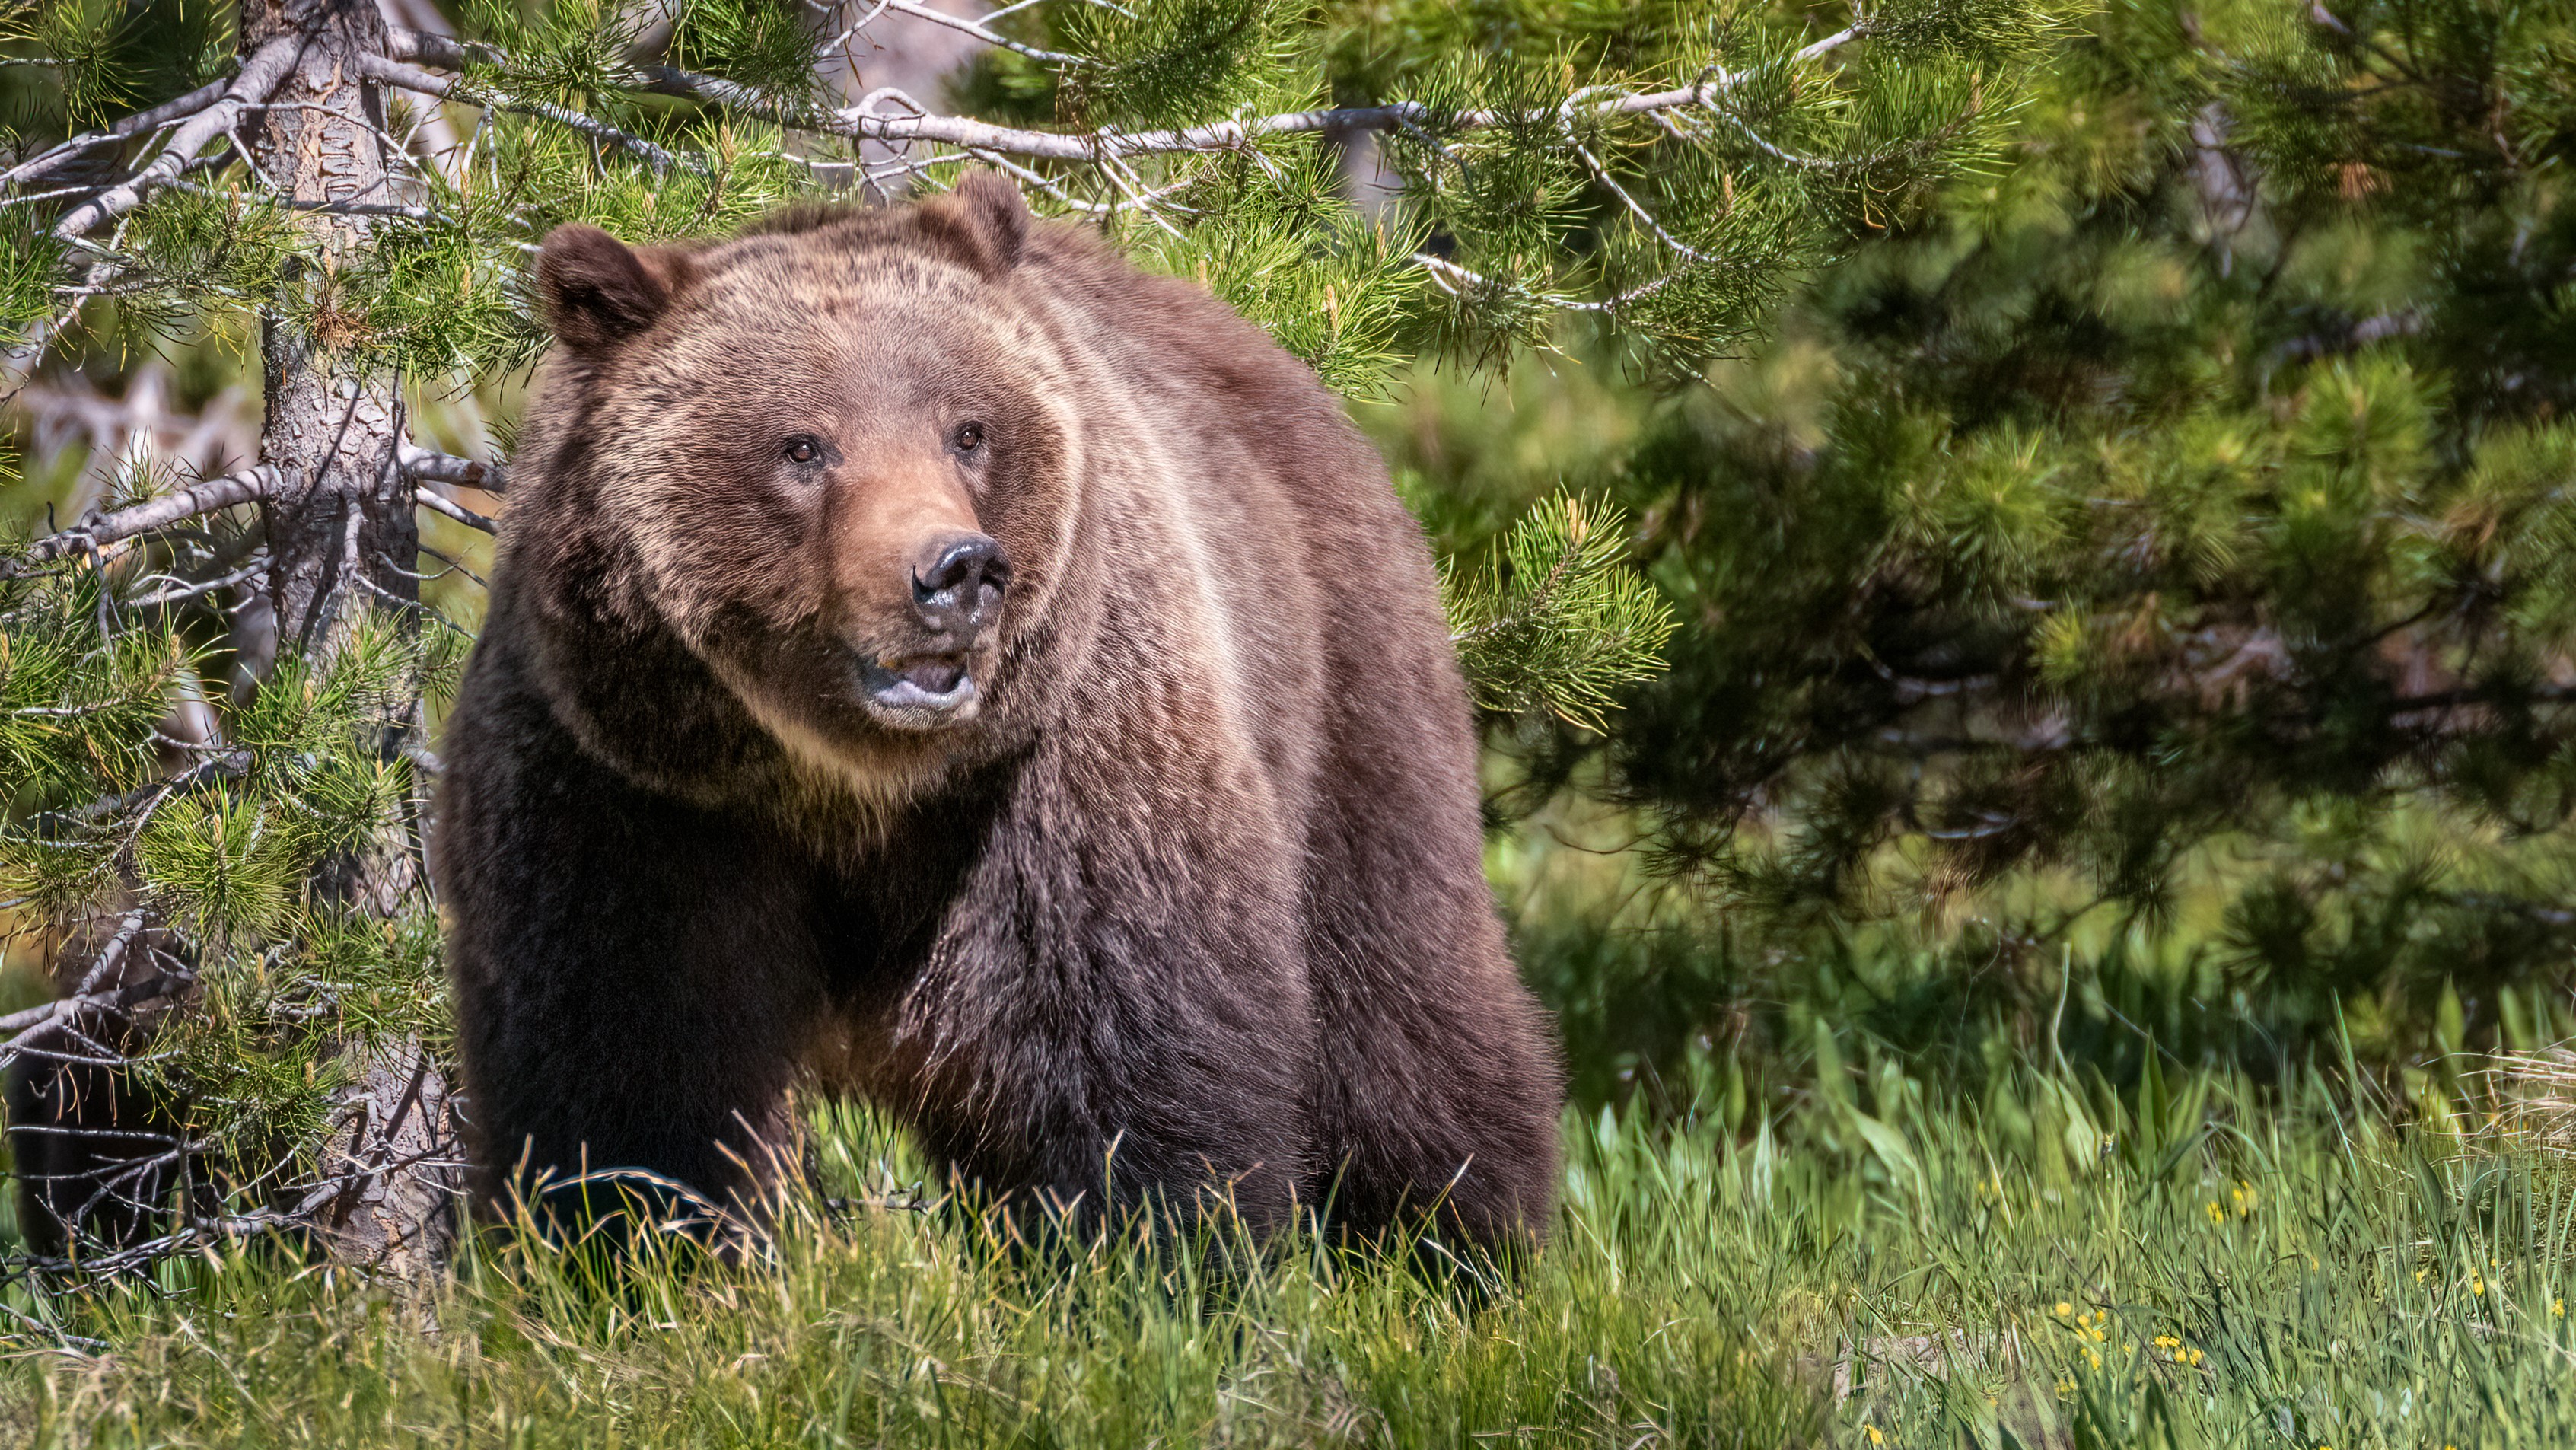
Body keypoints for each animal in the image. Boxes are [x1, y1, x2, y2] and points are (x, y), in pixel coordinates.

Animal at [432, 176, 1555, 1251]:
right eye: (804, 447)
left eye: (966, 430)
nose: (955, 570)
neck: (842, 783)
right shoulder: (628, 783)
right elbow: (626, 1073)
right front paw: (629, 1251)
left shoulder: (1066, 764)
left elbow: (1131, 1047)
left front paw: (1156, 1261)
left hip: (1343, 685)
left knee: (1398, 1005)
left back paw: (1458, 1247)